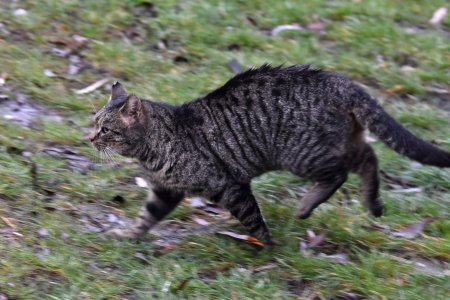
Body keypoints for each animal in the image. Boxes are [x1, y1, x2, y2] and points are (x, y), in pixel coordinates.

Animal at [89, 65, 450, 246]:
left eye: (105, 129)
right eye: (94, 122)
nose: (89, 137)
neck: (153, 150)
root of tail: (342, 82)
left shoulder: (229, 185)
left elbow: (252, 216)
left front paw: (266, 244)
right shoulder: (166, 191)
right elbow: (146, 218)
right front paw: (128, 235)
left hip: (305, 154)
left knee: (346, 169)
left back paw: (308, 207)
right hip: (335, 142)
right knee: (368, 155)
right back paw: (373, 205)